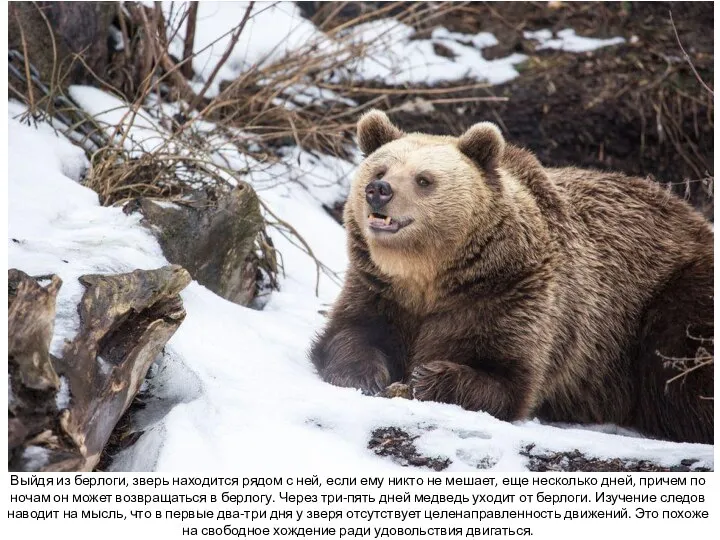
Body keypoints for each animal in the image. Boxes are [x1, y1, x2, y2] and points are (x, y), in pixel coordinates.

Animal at [310, 108, 716, 442]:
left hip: (673, 296)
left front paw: (429, 376)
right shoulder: (380, 289)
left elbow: (508, 377)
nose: (378, 190)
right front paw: (365, 373)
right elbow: (350, 333)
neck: (430, 275)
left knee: (684, 369)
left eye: (424, 179)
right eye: (380, 169)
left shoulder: (509, 295)